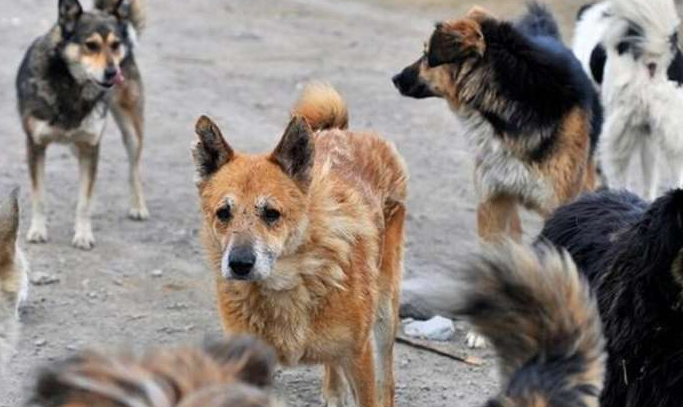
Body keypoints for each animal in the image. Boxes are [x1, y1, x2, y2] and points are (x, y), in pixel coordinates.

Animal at [191, 83, 406, 407]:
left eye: (271, 213)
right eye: (223, 213)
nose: (239, 264)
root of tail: (344, 131)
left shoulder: (359, 356)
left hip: (385, 313)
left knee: (388, 380)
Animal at [572, 0, 683, 201]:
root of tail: (652, 57)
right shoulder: (648, 132)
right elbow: (650, 176)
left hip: (617, 137)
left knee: (618, 180)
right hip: (674, 133)